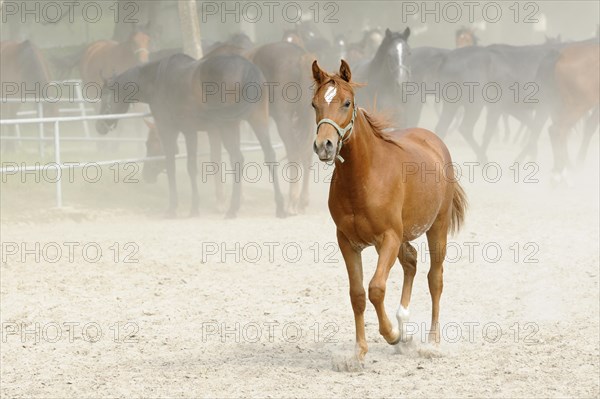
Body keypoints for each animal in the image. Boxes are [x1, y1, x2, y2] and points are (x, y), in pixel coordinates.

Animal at [97, 53, 284, 219]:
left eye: (149, 144)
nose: (99, 126)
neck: (157, 80)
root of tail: (247, 68)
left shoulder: (177, 131)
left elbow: (180, 166)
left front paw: (181, 208)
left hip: (229, 126)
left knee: (237, 158)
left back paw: (232, 210)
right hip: (257, 120)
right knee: (268, 156)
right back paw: (279, 206)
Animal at [312, 60, 466, 372]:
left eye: (347, 102)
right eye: (314, 104)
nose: (324, 146)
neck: (364, 176)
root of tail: (434, 141)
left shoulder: (388, 238)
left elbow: (376, 289)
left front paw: (392, 335)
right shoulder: (347, 242)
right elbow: (358, 294)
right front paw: (358, 353)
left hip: (437, 227)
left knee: (435, 278)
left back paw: (431, 342)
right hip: (404, 235)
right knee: (411, 262)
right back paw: (405, 326)